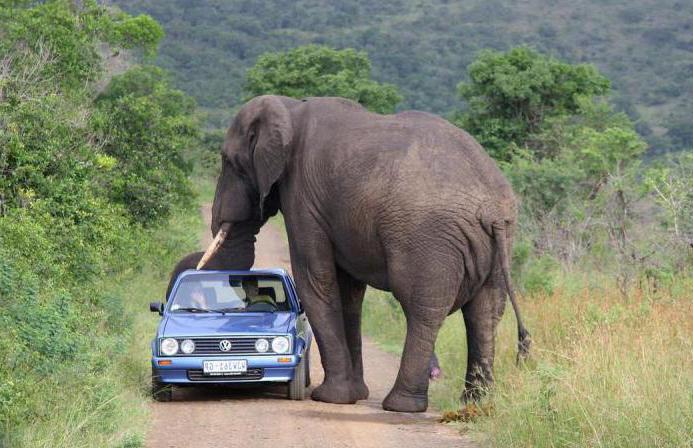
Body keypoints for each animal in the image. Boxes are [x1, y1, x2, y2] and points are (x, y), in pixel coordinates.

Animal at [192, 95, 528, 412]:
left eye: (228, 161)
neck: (290, 108)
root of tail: (492, 209)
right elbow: (349, 294)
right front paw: (356, 394)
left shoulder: (303, 198)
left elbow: (315, 279)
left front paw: (331, 398)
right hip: (500, 242)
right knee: (485, 312)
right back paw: (475, 403)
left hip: (429, 239)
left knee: (422, 309)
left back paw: (401, 405)